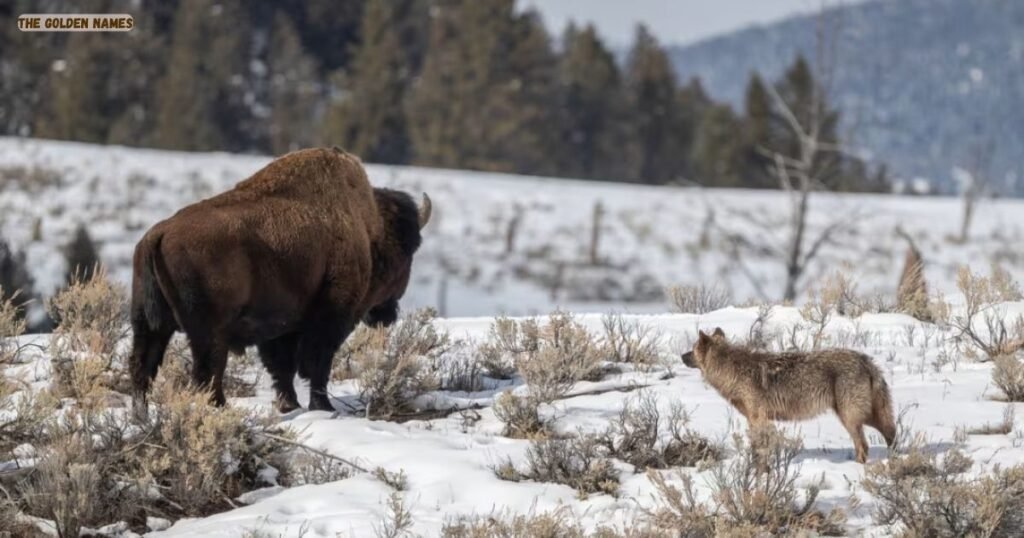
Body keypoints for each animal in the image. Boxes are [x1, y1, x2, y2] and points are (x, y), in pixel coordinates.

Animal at [681, 328, 896, 463]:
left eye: (692, 349)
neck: (732, 371)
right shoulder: (758, 419)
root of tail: (866, 360)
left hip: (851, 418)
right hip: (862, 416)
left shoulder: (757, 418)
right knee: (891, 433)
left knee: (865, 445)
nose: (681, 356)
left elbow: (758, 449)